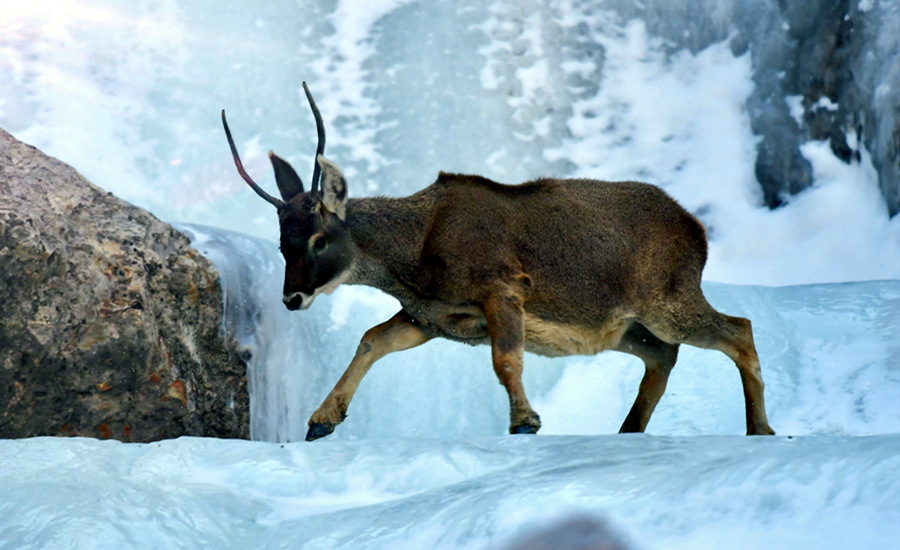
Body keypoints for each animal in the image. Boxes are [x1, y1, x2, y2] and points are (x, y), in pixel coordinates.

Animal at [222, 82, 775, 442]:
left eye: (319, 239)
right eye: (281, 243)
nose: (292, 297)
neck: (411, 263)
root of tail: (697, 231)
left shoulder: (503, 286)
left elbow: (506, 358)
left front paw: (525, 421)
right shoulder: (433, 318)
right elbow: (371, 339)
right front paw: (321, 418)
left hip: (666, 299)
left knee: (739, 328)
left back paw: (760, 427)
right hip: (627, 326)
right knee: (664, 355)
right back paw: (628, 430)